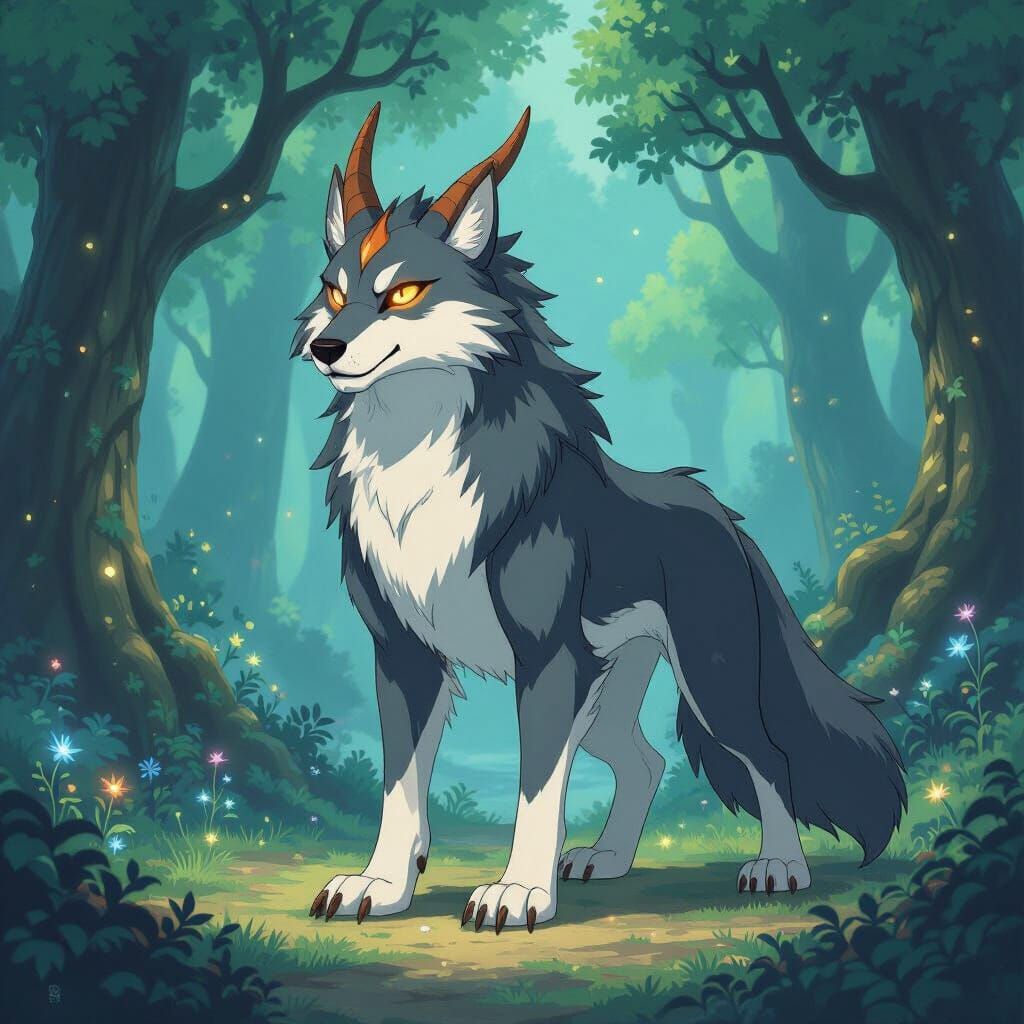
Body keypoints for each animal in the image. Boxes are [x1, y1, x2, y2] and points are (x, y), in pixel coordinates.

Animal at [296, 104, 907, 933]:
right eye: (334, 292)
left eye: (403, 293)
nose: (325, 347)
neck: (416, 464)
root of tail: (719, 511)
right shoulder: (404, 654)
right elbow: (400, 788)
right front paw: (382, 885)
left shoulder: (548, 662)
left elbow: (535, 787)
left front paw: (518, 894)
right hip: (611, 689)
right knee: (646, 761)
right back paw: (608, 858)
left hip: (710, 679)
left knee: (767, 758)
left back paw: (779, 867)